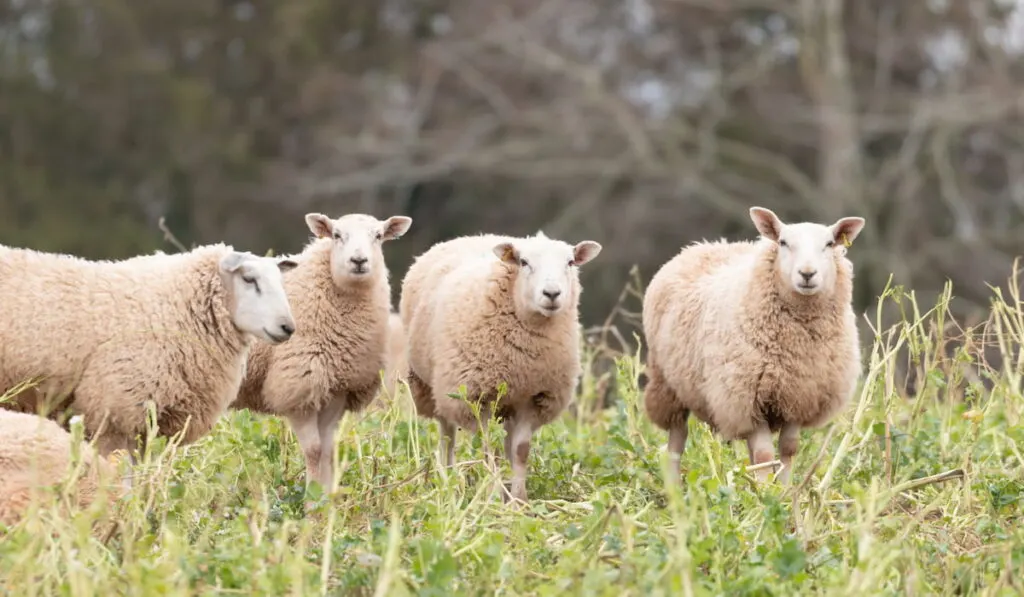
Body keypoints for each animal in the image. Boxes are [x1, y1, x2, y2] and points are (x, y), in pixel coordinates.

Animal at [232, 212, 411, 487]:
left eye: (378, 236)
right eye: (336, 235)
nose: (358, 261)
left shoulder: (336, 390)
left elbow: (328, 450)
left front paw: (327, 496)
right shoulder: (298, 387)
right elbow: (314, 450)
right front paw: (312, 496)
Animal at [399, 231, 602, 501]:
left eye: (570, 262)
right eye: (524, 262)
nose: (552, 293)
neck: (525, 357)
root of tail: (474, 236)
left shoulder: (535, 397)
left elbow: (520, 450)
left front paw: (518, 499)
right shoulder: (477, 397)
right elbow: (489, 449)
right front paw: (494, 498)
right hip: (436, 387)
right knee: (447, 434)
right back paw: (448, 479)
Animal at [643, 207, 868, 483]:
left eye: (829, 244)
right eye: (783, 242)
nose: (807, 274)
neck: (798, 342)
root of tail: (702, 246)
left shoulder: (799, 394)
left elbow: (787, 450)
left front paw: (784, 489)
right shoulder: (746, 397)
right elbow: (764, 455)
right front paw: (766, 492)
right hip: (668, 385)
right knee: (676, 440)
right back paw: (674, 487)